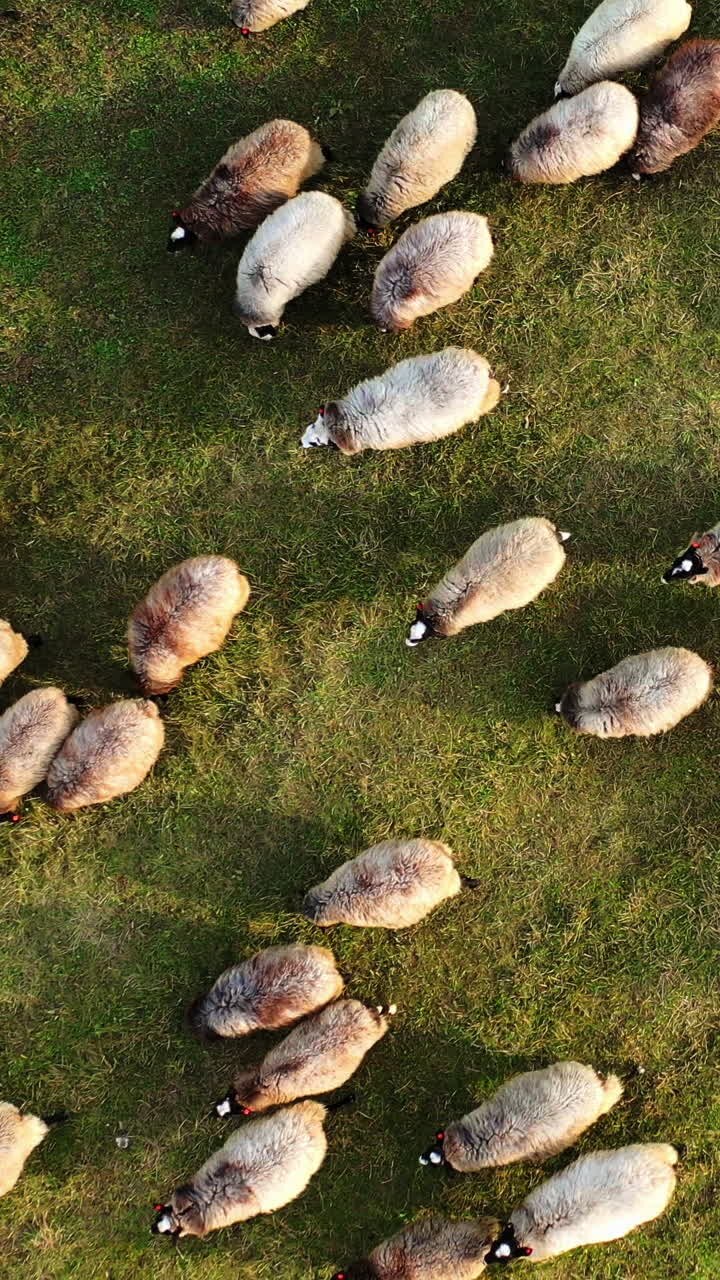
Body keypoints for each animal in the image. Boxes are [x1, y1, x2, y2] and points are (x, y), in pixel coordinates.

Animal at [484, 1142, 678, 1264]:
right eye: (494, 1245)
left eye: (504, 1260)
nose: (486, 1260)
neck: (530, 1231)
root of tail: (660, 1167)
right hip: (642, 1149)